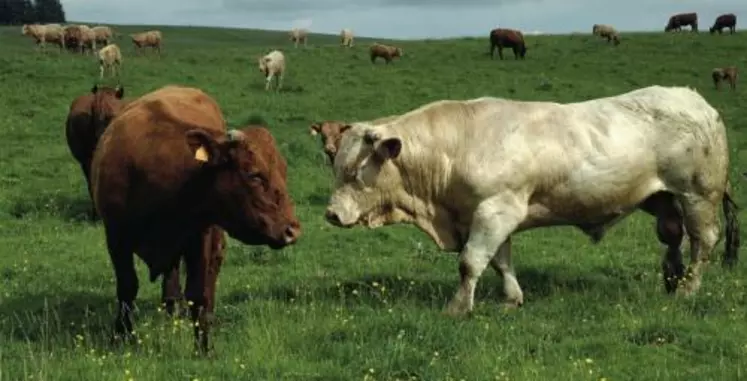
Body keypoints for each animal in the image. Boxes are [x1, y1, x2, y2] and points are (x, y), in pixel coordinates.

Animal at [92, 84, 302, 352]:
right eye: (254, 175)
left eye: (283, 171)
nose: (292, 230)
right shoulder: (116, 237)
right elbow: (127, 287)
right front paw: (122, 336)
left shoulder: (201, 236)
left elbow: (199, 293)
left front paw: (204, 346)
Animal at [326, 85, 744, 314]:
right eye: (335, 166)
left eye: (354, 171)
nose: (331, 214)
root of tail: (696, 100)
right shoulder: (485, 215)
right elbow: (499, 262)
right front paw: (512, 298)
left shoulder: (496, 209)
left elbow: (471, 262)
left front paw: (457, 308)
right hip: (663, 198)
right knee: (673, 236)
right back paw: (672, 279)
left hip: (698, 194)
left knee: (703, 242)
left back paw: (687, 290)